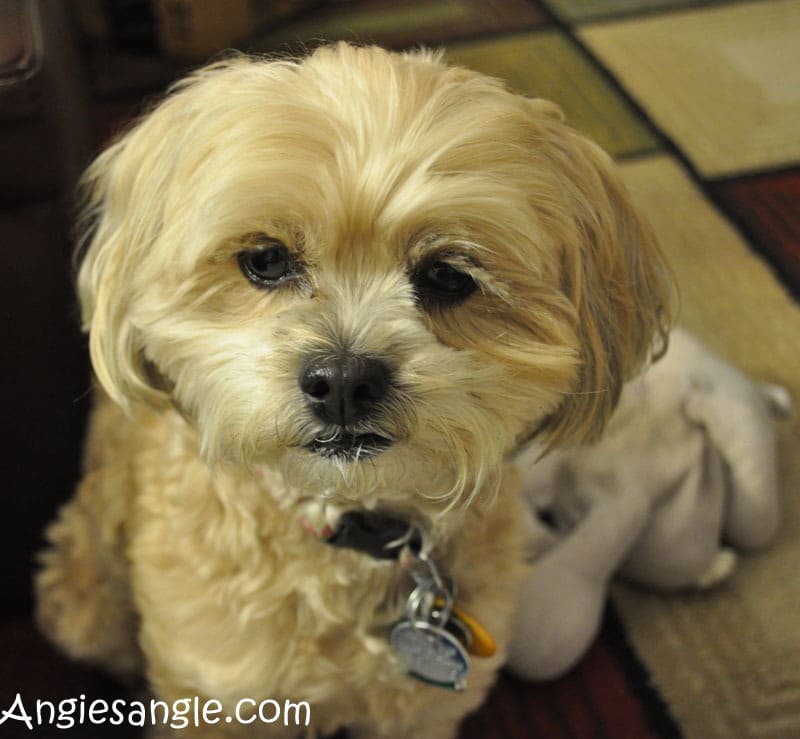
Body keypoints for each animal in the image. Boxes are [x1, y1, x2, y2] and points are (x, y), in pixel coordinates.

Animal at [34, 43, 672, 736]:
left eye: (449, 276)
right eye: (265, 259)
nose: (343, 381)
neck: (348, 532)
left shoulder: (419, 711)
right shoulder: (221, 698)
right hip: (85, 603)